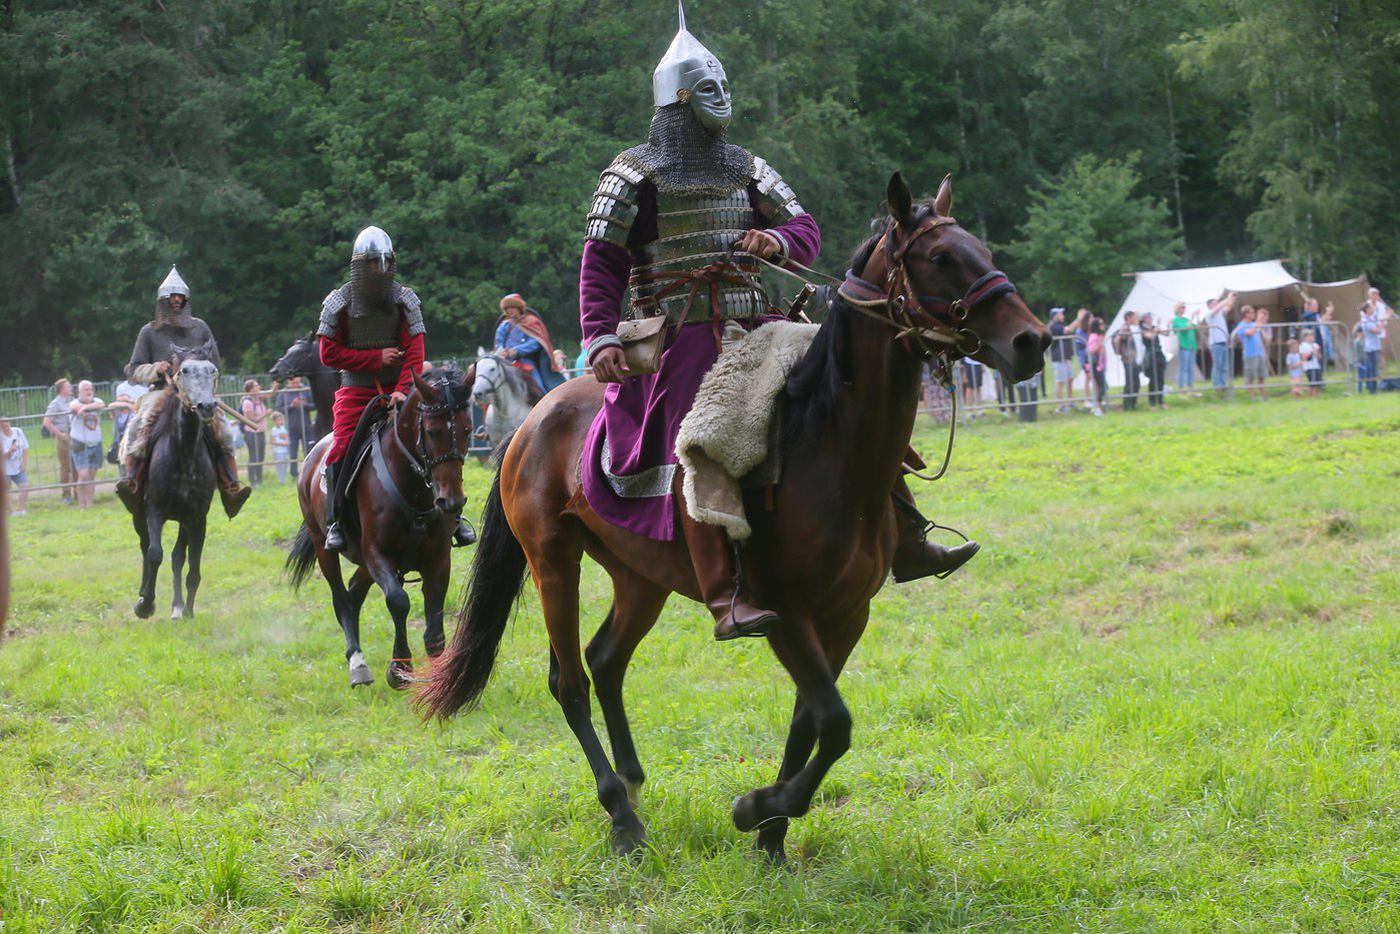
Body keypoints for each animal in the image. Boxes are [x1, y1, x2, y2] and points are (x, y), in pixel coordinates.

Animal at [131, 343, 221, 621]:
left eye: (212, 370)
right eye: (184, 371)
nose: (206, 406)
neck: (182, 455)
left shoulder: (197, 518)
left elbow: (192, 564)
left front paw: (189, 610)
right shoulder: (154, 511)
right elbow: (154, 553)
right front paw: (145, 604)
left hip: (183, 520)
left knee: (177, 556)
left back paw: (178, 606)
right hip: (138, 514)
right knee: (145, 546)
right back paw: (144, 594)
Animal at [289, 369, 476, 691]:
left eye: (467, 430)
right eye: (432, 432)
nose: (451, 501)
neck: (413, 488)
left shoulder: (438, 561)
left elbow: (435, 620)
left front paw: (437, 677)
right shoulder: (379, 556)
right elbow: (398, 602)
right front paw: (399, 669)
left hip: (364, 562)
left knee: (353, 595)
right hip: (323, 544)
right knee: (342, 598)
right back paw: (357, 662)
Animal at [420, 175, 1047, 862]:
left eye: (981, 249)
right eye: (939, 258)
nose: (1032, 341)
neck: (827, 446)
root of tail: (531, 422)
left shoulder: (847, 614)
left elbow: (811, 720)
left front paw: (772, 834)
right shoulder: (785, 613)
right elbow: (834, 721)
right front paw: (758, 809)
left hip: (641, 577)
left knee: (606, 660)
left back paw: (633, 781)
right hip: (553, 561)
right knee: (570, 681)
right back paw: (621, 816)